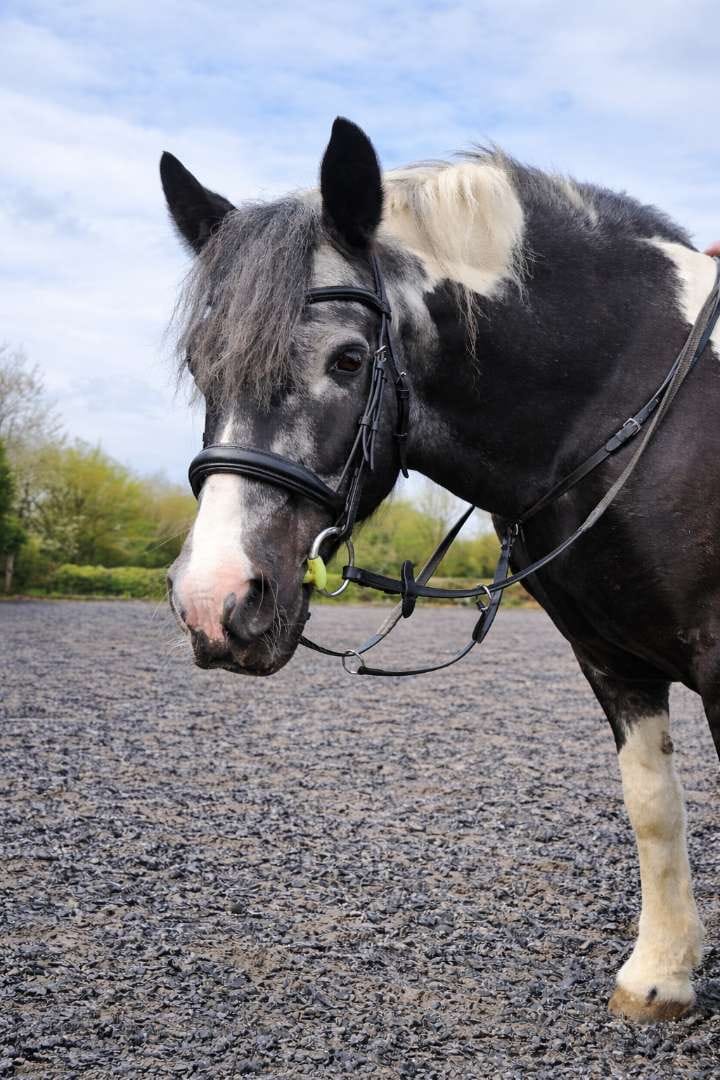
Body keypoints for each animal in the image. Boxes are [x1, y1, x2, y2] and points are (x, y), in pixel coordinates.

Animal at [161, 117, 720, 1023]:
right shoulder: (611, 658)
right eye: (199, 363)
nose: (213, 601)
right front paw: (664, 972)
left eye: (349, 361)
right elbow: (653, 806)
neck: (642, 398)